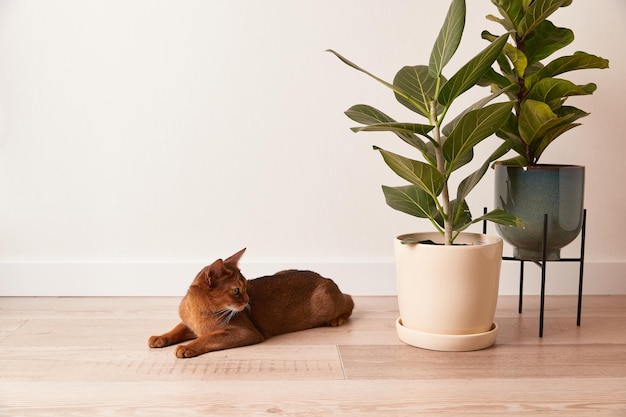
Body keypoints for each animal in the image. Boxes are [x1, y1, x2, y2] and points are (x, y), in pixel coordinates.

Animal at [146, 247, 352, 358]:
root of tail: (324, 277)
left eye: (246, 286)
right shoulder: (190, 324)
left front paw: (188, 347)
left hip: (324, 302)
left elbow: (208, 337)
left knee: (349, 300)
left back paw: (338, 319)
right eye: (237, 290)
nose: (247, 301)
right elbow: (177, 328)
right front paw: (159, 337)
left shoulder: (246, 332)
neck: (199, 310)